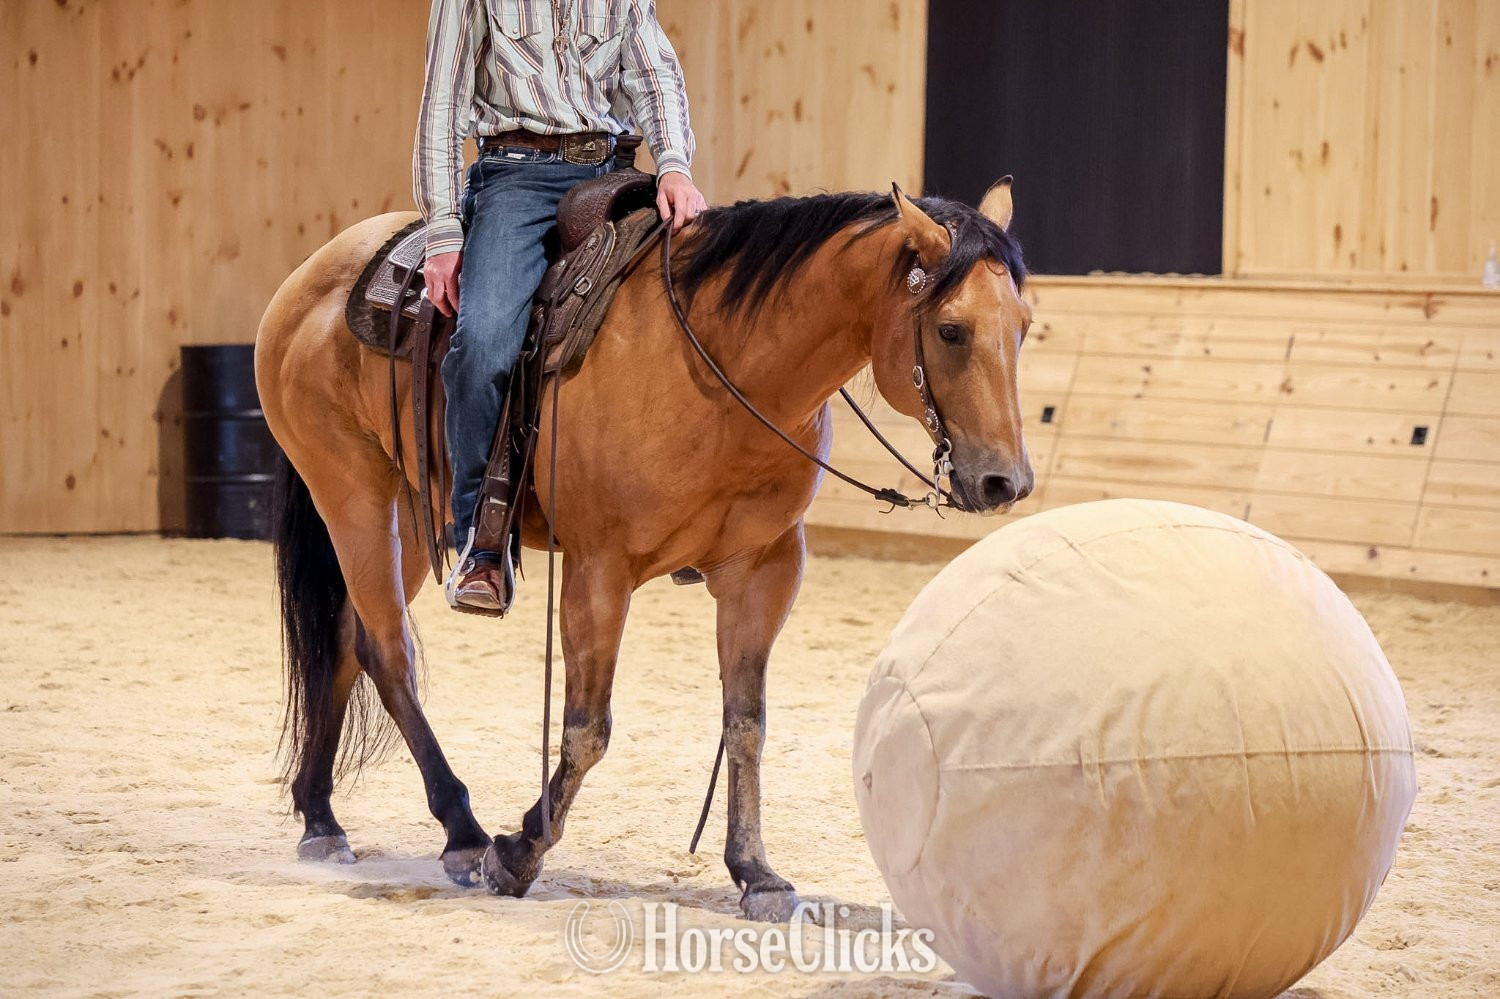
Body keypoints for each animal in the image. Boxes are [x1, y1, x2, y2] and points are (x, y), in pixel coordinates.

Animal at [253, 176, 1032, 922]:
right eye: (952, 329)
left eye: (1023, 326)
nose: (1006, 481)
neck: (722, 368)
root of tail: (316, 272)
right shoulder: (599, 571)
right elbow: (586, 729)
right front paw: (519, 853)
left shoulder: (764, 572)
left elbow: (745, 724)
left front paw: (755, 871)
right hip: (351, 489)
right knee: (388, 652)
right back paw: (463, 831)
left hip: (413, 510)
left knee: (347, 640)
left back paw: (321, 817)